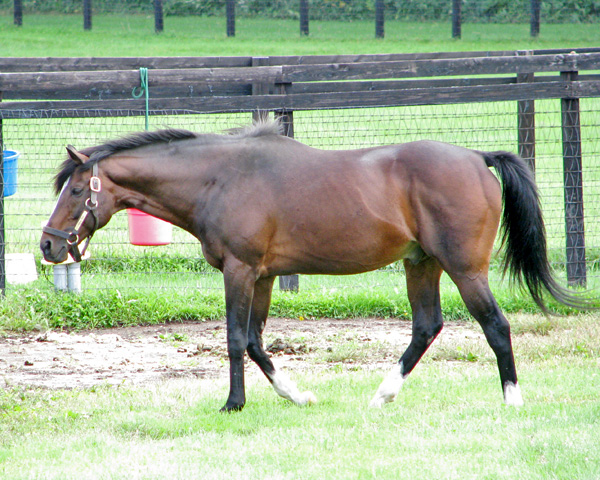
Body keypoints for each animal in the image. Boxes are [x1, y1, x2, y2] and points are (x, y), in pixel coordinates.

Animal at [41, 118, 592, 410]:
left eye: (76, 190)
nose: (48, 246)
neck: (221, 178)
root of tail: (478, 157)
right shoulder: (262, 276)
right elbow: (256, 342)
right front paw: (296, 395)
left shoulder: (241, 271)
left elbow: (235, 339)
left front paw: (233, 404)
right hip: (422, 264)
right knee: (426, 327)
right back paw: (382, 394)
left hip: (464, 269)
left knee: (495, 325)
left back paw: (512, 400)